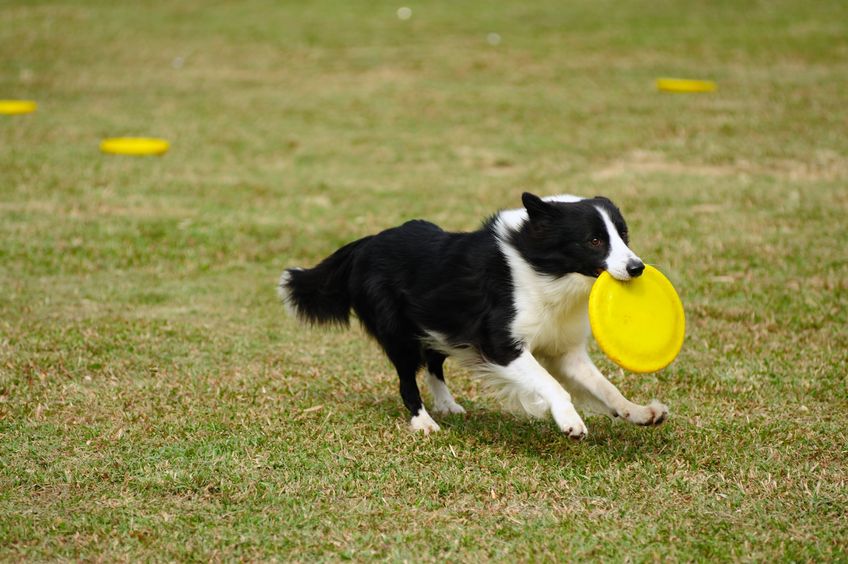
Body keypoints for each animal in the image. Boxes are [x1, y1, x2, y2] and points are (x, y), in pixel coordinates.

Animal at [278, 192, 668, 438]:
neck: (543, 268)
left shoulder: (564, 349)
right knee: (407, 378)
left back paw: (447, 404)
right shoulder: (501, 345)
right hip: (398, 331)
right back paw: (424, 423)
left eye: (624, 235)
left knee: (433, 364)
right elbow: (551, 383)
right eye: (594, 241)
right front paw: (569, 421)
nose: (637, 269)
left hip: (437, 321)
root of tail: (367, 242)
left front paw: (637, 412)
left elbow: (603, 386)